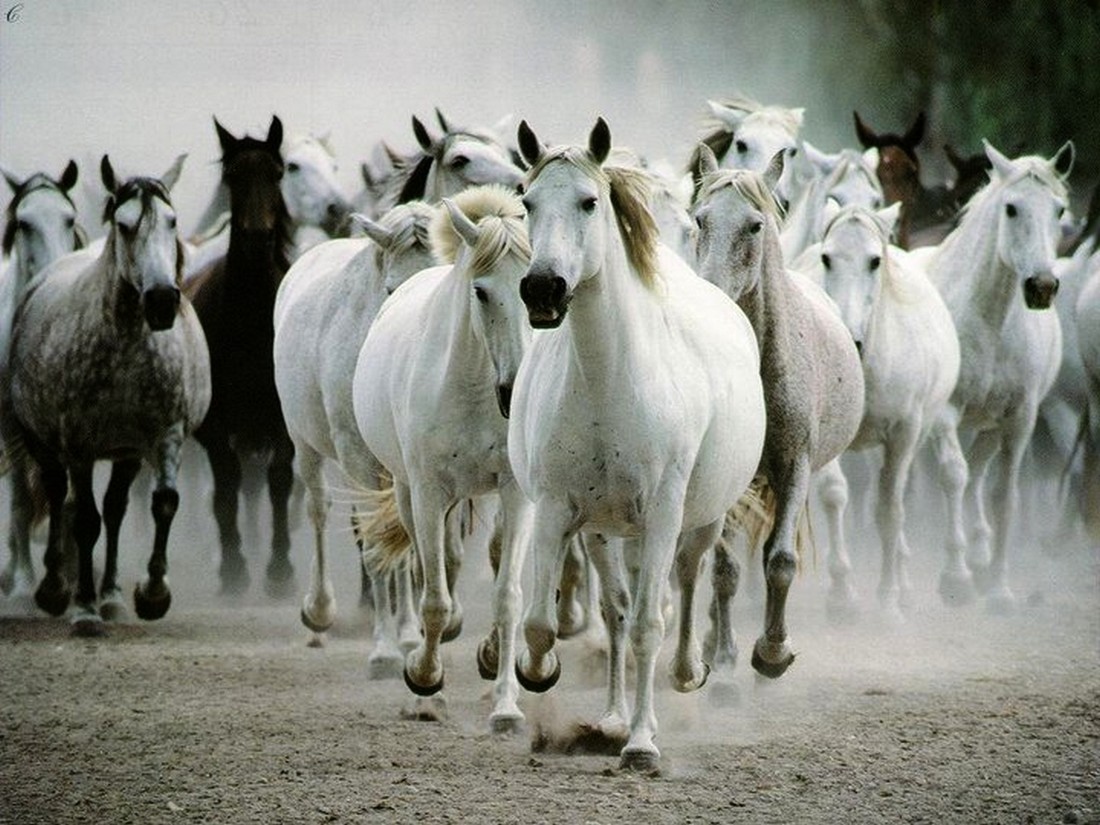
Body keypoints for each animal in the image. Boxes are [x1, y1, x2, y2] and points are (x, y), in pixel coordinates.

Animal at [270, 200, 433, 673]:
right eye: (393, 289)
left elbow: (407, 545)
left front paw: (409, 637)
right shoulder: (357, 457)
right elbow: (377, 543)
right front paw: (383, 650)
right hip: (307, 446)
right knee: (319, 510)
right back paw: (318, 614)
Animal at [352, 185, 532, 730]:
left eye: (539, 291)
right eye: (481, 291)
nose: (513, 392)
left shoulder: (515, 493)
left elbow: (507, 596)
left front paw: (507, 706)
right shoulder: (429, 492)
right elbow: (431, 596)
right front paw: (425, 684)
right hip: (410, 492)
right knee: (427, 565)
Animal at [508, 119, 761, 774]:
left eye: (589, 202)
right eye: (527, 202)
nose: (542, 289)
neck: (608, 381)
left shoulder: (663, 513)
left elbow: (652, 623)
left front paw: (644, 746)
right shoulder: (557, 508)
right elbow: (543, 621)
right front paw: (538, 672)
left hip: (697, 518)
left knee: (687, 583)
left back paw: (685, 674)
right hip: (605, 530)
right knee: (617, 610)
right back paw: (615, 717)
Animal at [800, 203, 963, 616]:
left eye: (875, 261)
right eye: (827, 258)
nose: (848, 339)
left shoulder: (903, 434)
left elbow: (889, 509)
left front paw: (889, 601)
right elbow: (834, 496)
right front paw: (842, 594)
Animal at [906, 139, 1078, 611]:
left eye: (1059, 210)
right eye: (1012, 208)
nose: (1041, 287)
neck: (991, 319)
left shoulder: (1020, 418)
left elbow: (1004, 495)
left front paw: (999, 587)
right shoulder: (946, 413)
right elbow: (953, 476)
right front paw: (956, 577)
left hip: (989, 424)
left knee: (980, 472)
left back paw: (981, 553)